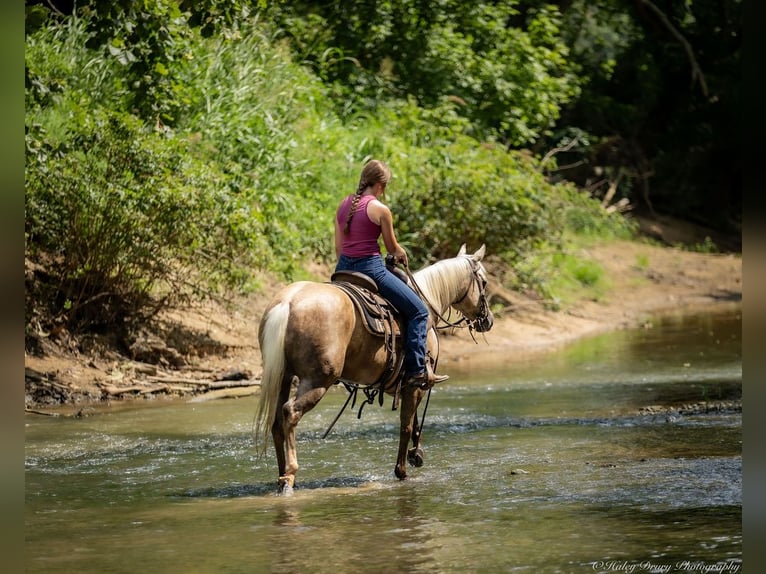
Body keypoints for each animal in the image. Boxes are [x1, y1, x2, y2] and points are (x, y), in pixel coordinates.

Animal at [254, 244, 494, 494]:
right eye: (484, 282)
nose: (489, 320)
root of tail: (288, 302)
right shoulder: (415, 385)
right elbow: (406, 426)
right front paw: (402, 471)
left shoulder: (406, 387)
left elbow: (414, 422)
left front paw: (415, 455)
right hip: (317, 380)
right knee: (290, 412)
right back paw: (290, 475)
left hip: (283, 377)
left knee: (276, 422)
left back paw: (281, 475)